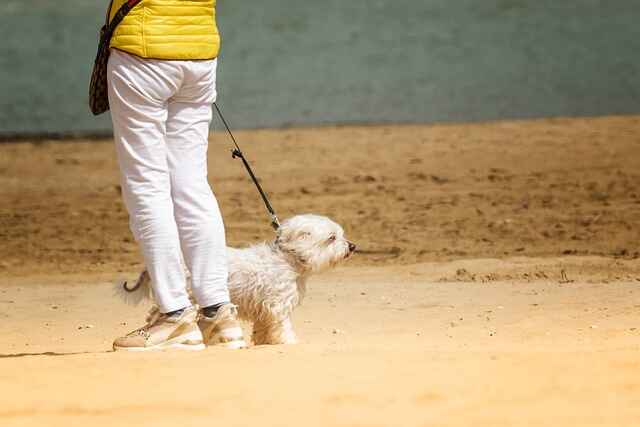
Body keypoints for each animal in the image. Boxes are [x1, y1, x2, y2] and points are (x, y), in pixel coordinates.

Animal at [120, 216, 356, 346]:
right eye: (332, 238)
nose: (353, 246)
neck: (287, 259)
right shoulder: (278, 306)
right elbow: (283, 327)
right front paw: (289, 342)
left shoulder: (265, 309)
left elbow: (263, 328)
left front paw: (264, 342)